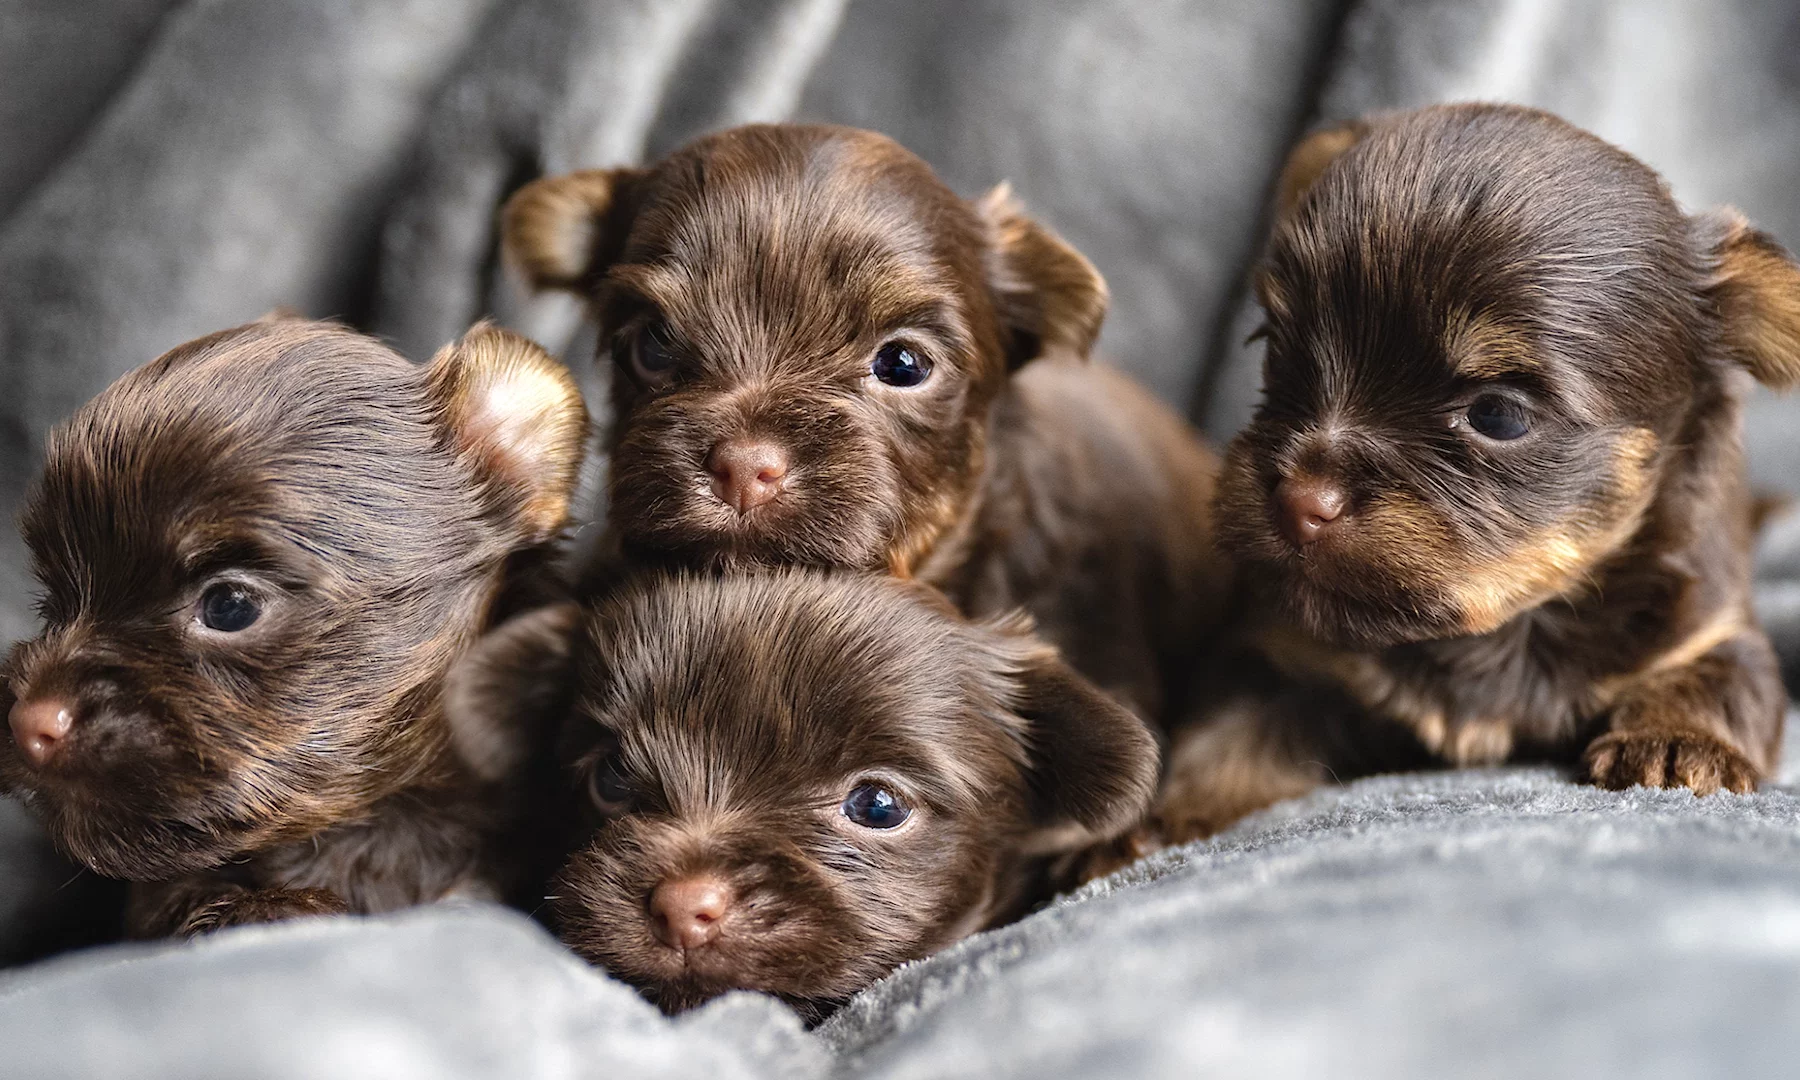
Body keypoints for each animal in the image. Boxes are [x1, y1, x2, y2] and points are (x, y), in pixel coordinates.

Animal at [1159, 103, 1792, 842]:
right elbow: (1226, 733)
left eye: (1498, 415)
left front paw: (1676, 743)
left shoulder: (1712, 630)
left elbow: (1721, 679)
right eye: (1276, 351)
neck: (1500, 627)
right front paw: (1166, 824)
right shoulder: (1275, 651)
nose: (1298, 501)